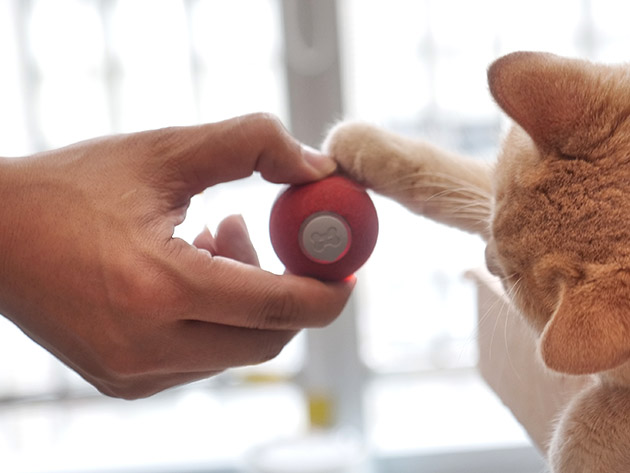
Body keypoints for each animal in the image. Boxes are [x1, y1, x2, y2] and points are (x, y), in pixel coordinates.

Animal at [326, 51, 630, 472]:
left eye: (513, 280)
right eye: (497, 206)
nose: (486, 259)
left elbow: (582, 426)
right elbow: (460, 178)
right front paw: (368, 144)